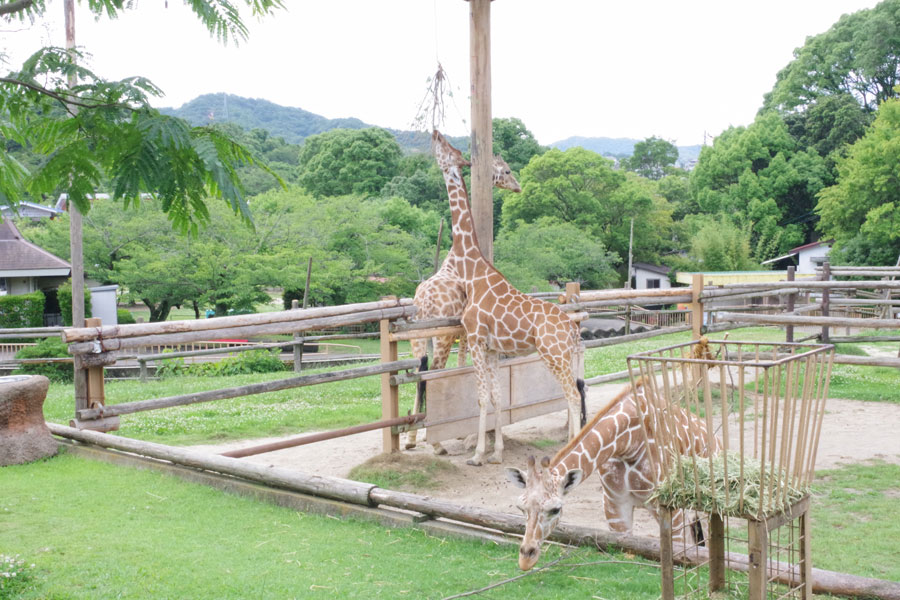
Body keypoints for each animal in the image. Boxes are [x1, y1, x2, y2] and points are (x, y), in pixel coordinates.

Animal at [406, 154, 524, 450]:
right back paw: (436, 445)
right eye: (507, 170)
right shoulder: (463, 331)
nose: (518, 187)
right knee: (434, 372)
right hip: (441, 337)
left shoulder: (462, 331)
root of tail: (425, 303)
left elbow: (460, 366)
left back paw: (412, 438)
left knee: (419, 374)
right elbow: (462, 366)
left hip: (417, 338)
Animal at [432, 130, 588, 468]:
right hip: (563, 356)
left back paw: (572, 450)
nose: (435, 133)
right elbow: (496, 396)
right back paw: (570, 446)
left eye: (448, 150)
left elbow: (480, 397)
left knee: (572, 395)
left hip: (553, 355)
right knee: (574, 393)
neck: (473, 274)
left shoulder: (476, 340)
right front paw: (497, 452)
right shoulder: (492, 349)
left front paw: (477, 454)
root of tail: (572, 329)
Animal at [502, 380, 720, 572]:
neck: (628, 443)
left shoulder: (670, 509)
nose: (525, 559)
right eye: (520, 507)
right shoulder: (615, 506)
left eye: (556, 509)